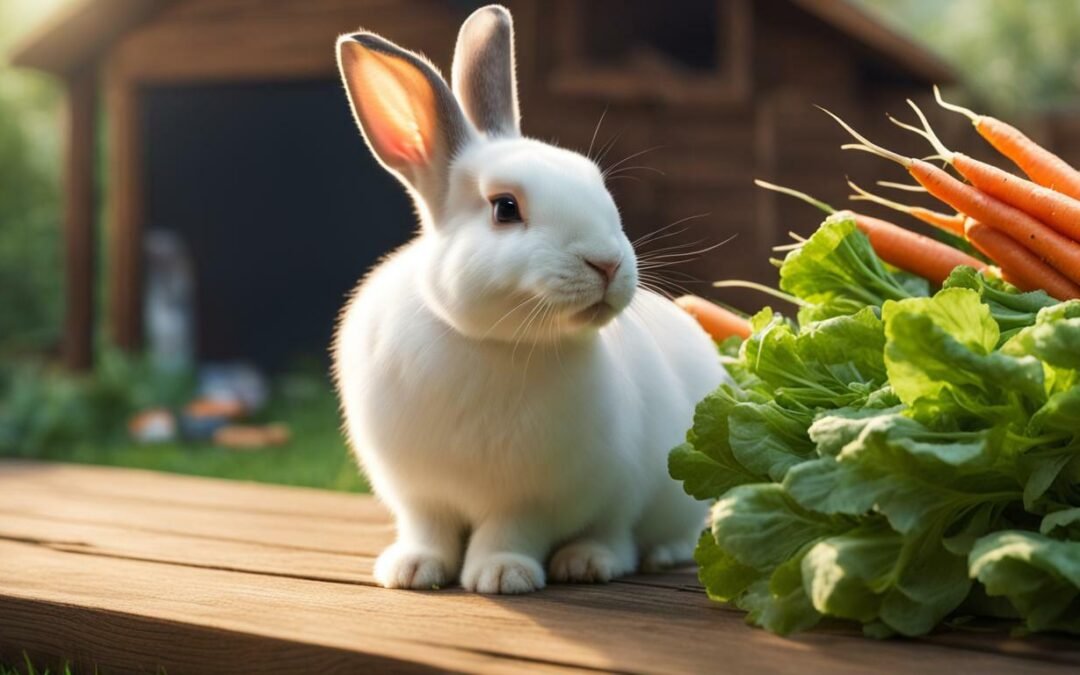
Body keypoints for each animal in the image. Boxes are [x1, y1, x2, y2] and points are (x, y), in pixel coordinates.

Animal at [332, 4, 728, 594]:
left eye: (598, 186)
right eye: (504, 208)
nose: (607, 263)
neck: (489, 341)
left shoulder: (534, 499)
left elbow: (509, 532)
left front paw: (501, 575)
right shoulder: (419, 495)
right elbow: (428, 529)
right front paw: (411, 570)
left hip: (660, 492)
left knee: (627, 535)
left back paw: (595, 561)